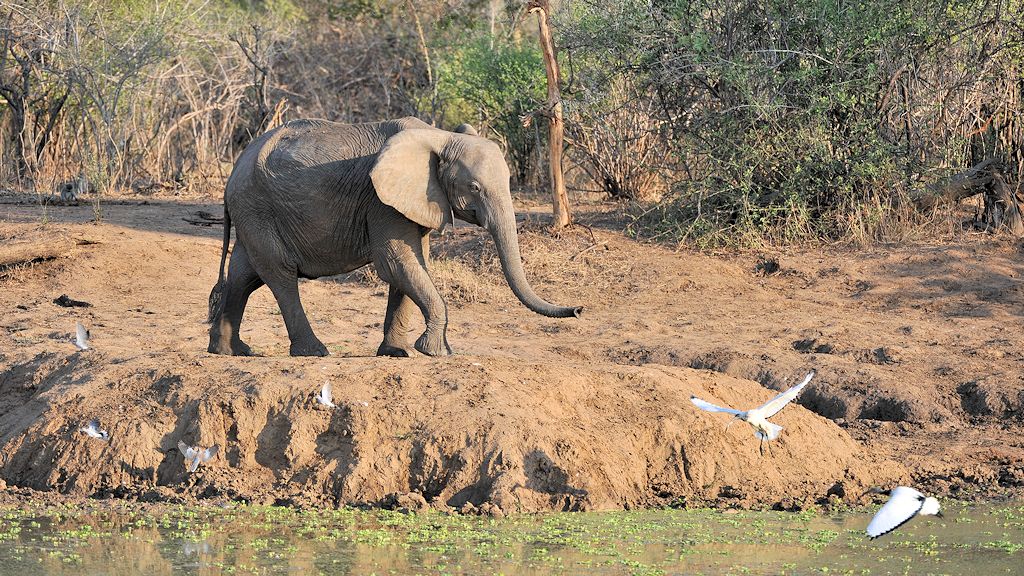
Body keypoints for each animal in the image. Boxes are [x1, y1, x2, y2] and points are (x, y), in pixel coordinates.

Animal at [207, 116, 582, 357]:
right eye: (474, 187)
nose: (578, 309)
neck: (438, 137)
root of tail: (232, 175)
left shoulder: (414, 200)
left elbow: (413, 265)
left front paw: (396, 353)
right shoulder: (380, 201)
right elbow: (396, 262)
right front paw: (437, 352)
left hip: (254, 214)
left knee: (244, 275)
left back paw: (230, 351)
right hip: (258, 208)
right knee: (280, 275)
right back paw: (313, 352)